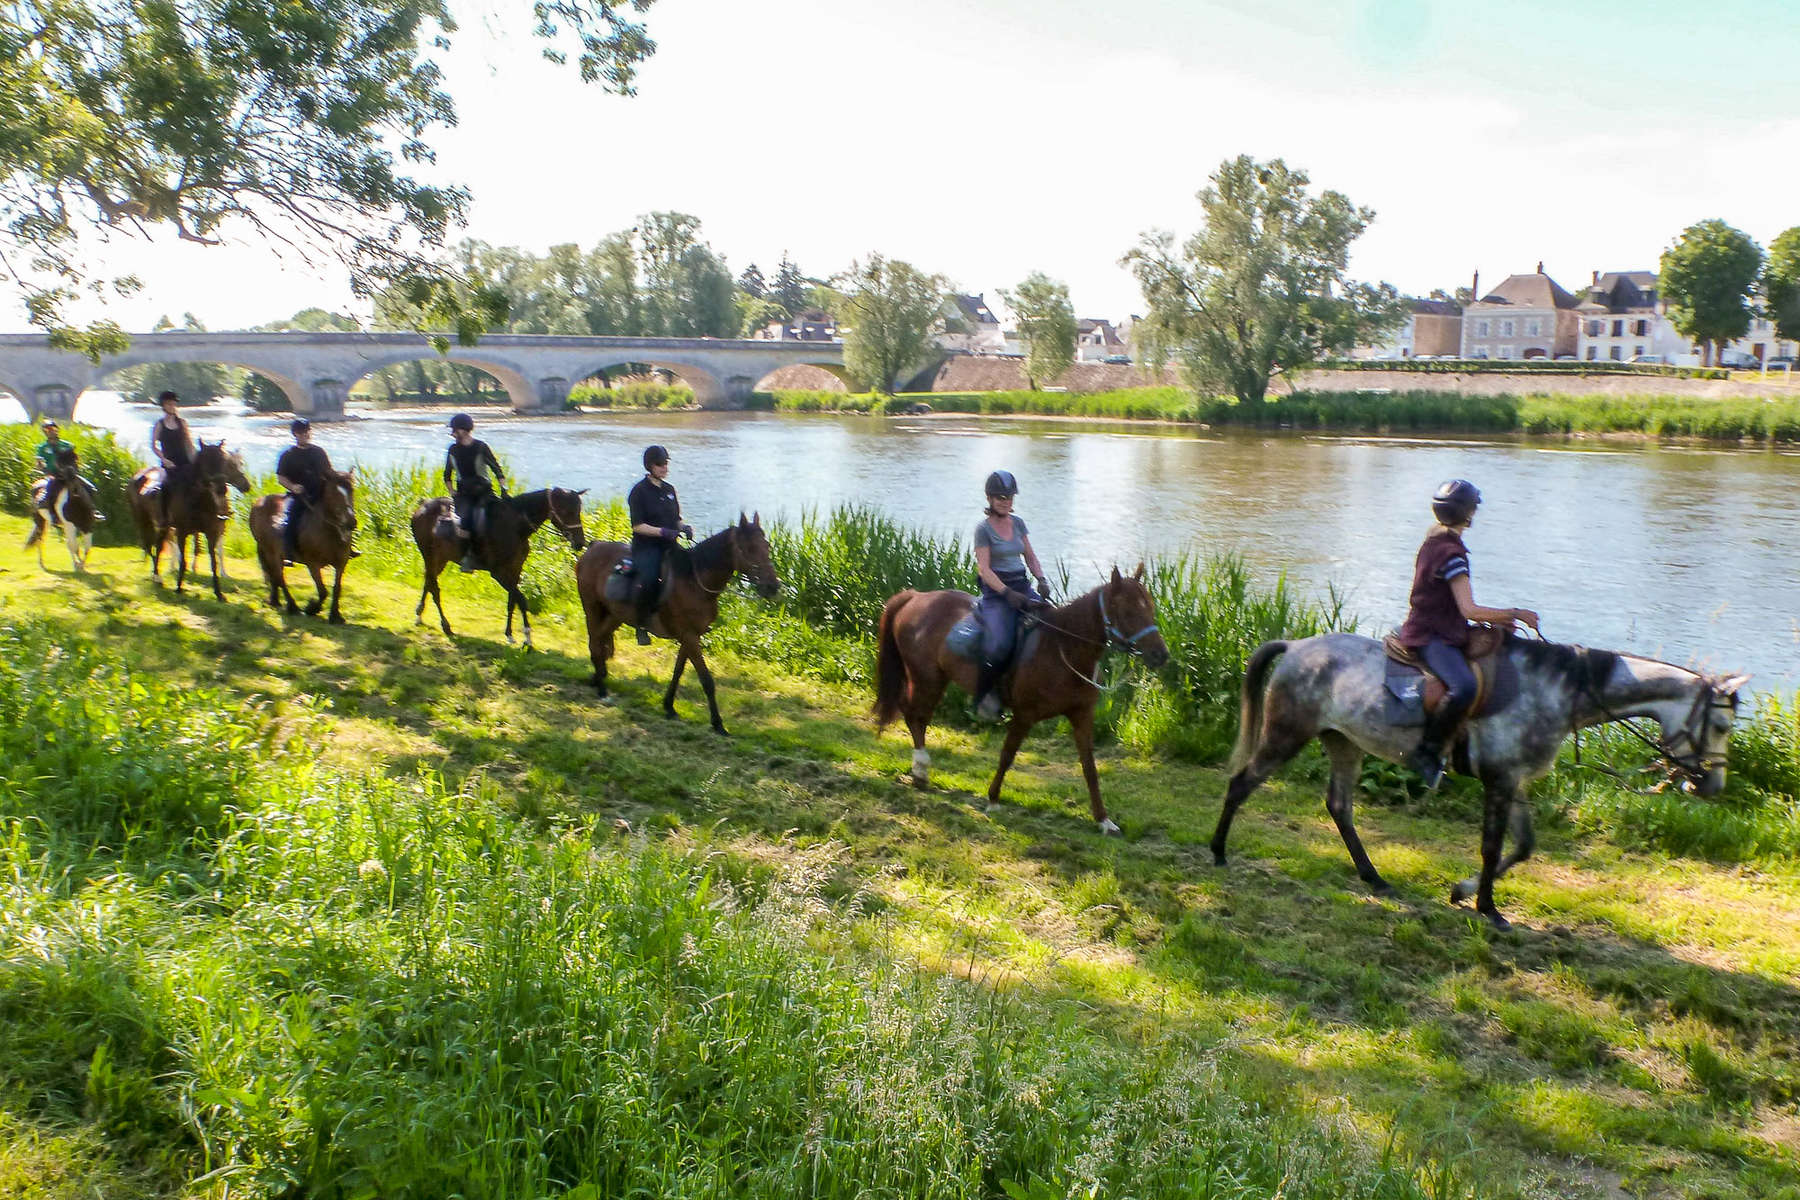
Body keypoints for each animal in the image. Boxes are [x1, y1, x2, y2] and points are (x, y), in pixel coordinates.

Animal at [128, 440, 235, 600]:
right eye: (206, 462)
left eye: (223, 460)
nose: (221, 489)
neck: (198, 499)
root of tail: (136, 476)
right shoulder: (182, 532)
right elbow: (182, 560)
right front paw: (179, 588)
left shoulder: (211, 533)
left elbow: (213, 562)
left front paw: (218, 593)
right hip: (143, 521)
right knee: (150, 547)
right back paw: (157, 578)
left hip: (162, 527)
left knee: (157, 546)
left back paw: (157, 578)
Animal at [572, 514, 777, 737]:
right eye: (748, 548)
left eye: (766, 545)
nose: (773, 586)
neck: (695, 581)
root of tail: (593, 547)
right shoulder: (689, 636)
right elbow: (707, 680)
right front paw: (718, 724)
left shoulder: (691, 636)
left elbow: (678, 672)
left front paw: (669, 706)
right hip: (592, 608)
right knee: (595, 643)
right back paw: (601, 688)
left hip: (614, 615)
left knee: (599, 641)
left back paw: (598, 676)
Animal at [871, 564, 1166, 834]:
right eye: (1127, 612)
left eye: (1150, 608)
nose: (1160, 655)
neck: (1062, 647)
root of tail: (915, 597)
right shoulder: (1025, 715)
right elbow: (1007, 755)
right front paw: (993, 799)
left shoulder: (1082, 715)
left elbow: (1090, 768)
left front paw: (1103, 820)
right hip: (926, 679)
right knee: (915, 715)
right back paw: (921, 769)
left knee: (914, 713)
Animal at [1209, 633, 1742, 935]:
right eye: (1721, 725)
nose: (1712, 787)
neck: (1558, 691)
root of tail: (1297, 647)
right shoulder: (1500, 779)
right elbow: (1492, 846)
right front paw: (1488, 907)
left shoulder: (1516, 780)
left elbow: (1523, 845)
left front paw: (1463, 891)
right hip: (1287, 734)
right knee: (1242, 782)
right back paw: (1217, 851)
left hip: (1345, 744)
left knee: (1339, 806)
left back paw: (1373, 877)